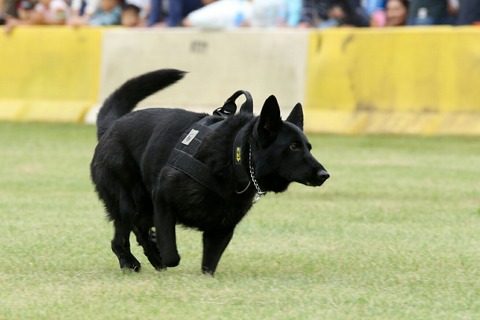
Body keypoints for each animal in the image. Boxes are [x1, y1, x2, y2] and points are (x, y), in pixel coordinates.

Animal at [90, 70, 330, 276]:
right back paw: (132, 261)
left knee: (139, 228)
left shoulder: (222, 228)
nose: (324, 175)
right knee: (121, 238)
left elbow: (209, 266)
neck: (234, 158)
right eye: (293, 147)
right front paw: (162, 255)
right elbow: (172, 255)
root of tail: (111, 127)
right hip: (128, 202)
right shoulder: (163, 199)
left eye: (308, 147)